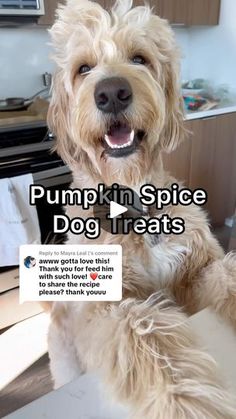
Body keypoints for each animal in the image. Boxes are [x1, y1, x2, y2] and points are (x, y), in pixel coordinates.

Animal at [47, 1, 236, 418]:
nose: (112, 93)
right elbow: (145, 333)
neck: (132, 199)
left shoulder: (195, 271)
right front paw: (187, 403)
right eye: (83, 68)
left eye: (139, 58)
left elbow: (226, 274)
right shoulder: (108, 306)